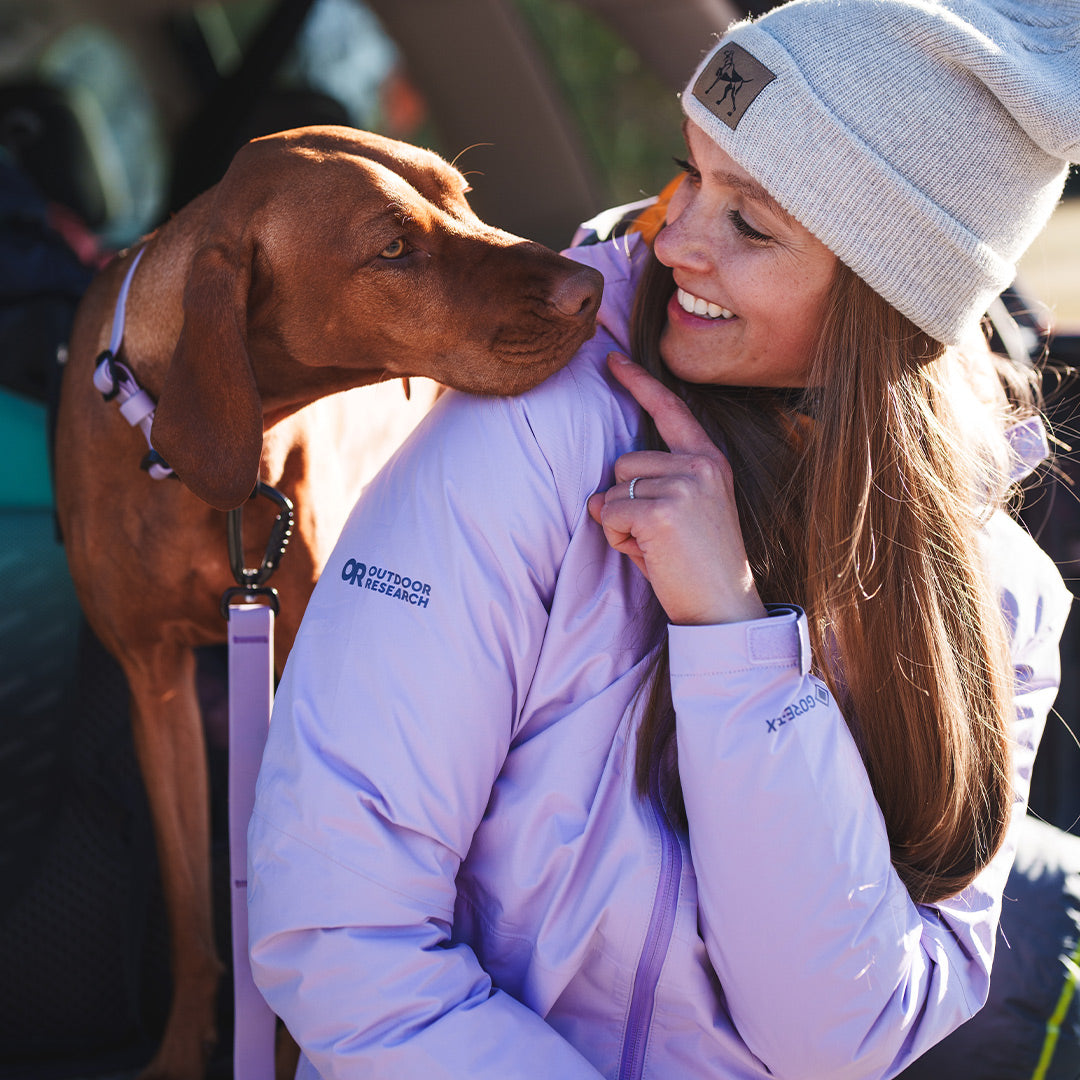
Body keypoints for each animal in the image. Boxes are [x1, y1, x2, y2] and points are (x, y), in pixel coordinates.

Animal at [54, 128, 604, 1080]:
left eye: (461, 197)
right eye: (392, 250)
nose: (591, 284)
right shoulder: (152, 682)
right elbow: (190, 902)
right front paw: (180, 1051)